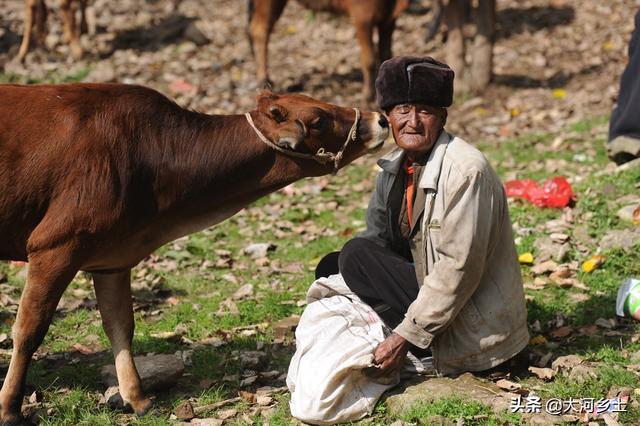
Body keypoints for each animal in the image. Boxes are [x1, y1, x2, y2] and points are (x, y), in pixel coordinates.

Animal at [0, 84, 388, 422]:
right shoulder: (55, 245)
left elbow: (120, 325)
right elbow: (29, 330)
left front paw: (137, 398)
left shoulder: (114, 258)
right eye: (318, 118)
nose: (379, 119)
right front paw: (9, 408)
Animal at [249, 0, 410, 103]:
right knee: (260, 29)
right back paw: (262, 78)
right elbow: (369, 60)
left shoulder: (389, 20)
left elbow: (386, 56)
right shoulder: (363, 16)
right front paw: (368, 98)